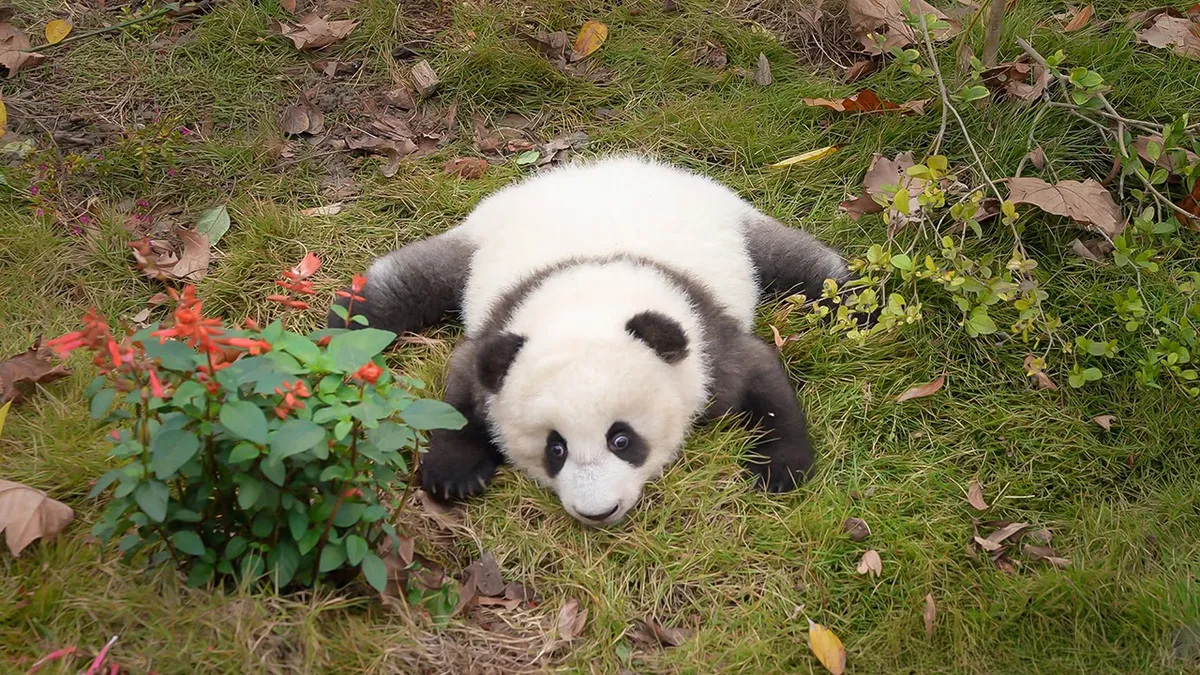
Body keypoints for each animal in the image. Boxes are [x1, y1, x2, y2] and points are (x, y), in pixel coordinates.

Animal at [329, 155, 852, 527]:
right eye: (554, 449)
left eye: (622, 439)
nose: (597, 512)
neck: (586, 297)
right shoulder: (499, 328)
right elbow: (461, 389)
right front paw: (454, 473)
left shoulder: (704, 336)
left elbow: (761, 374)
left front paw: (781, 469)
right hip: (476, 241)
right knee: (402, 285)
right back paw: (344, 332)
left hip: (737, 224)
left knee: (809, 268)